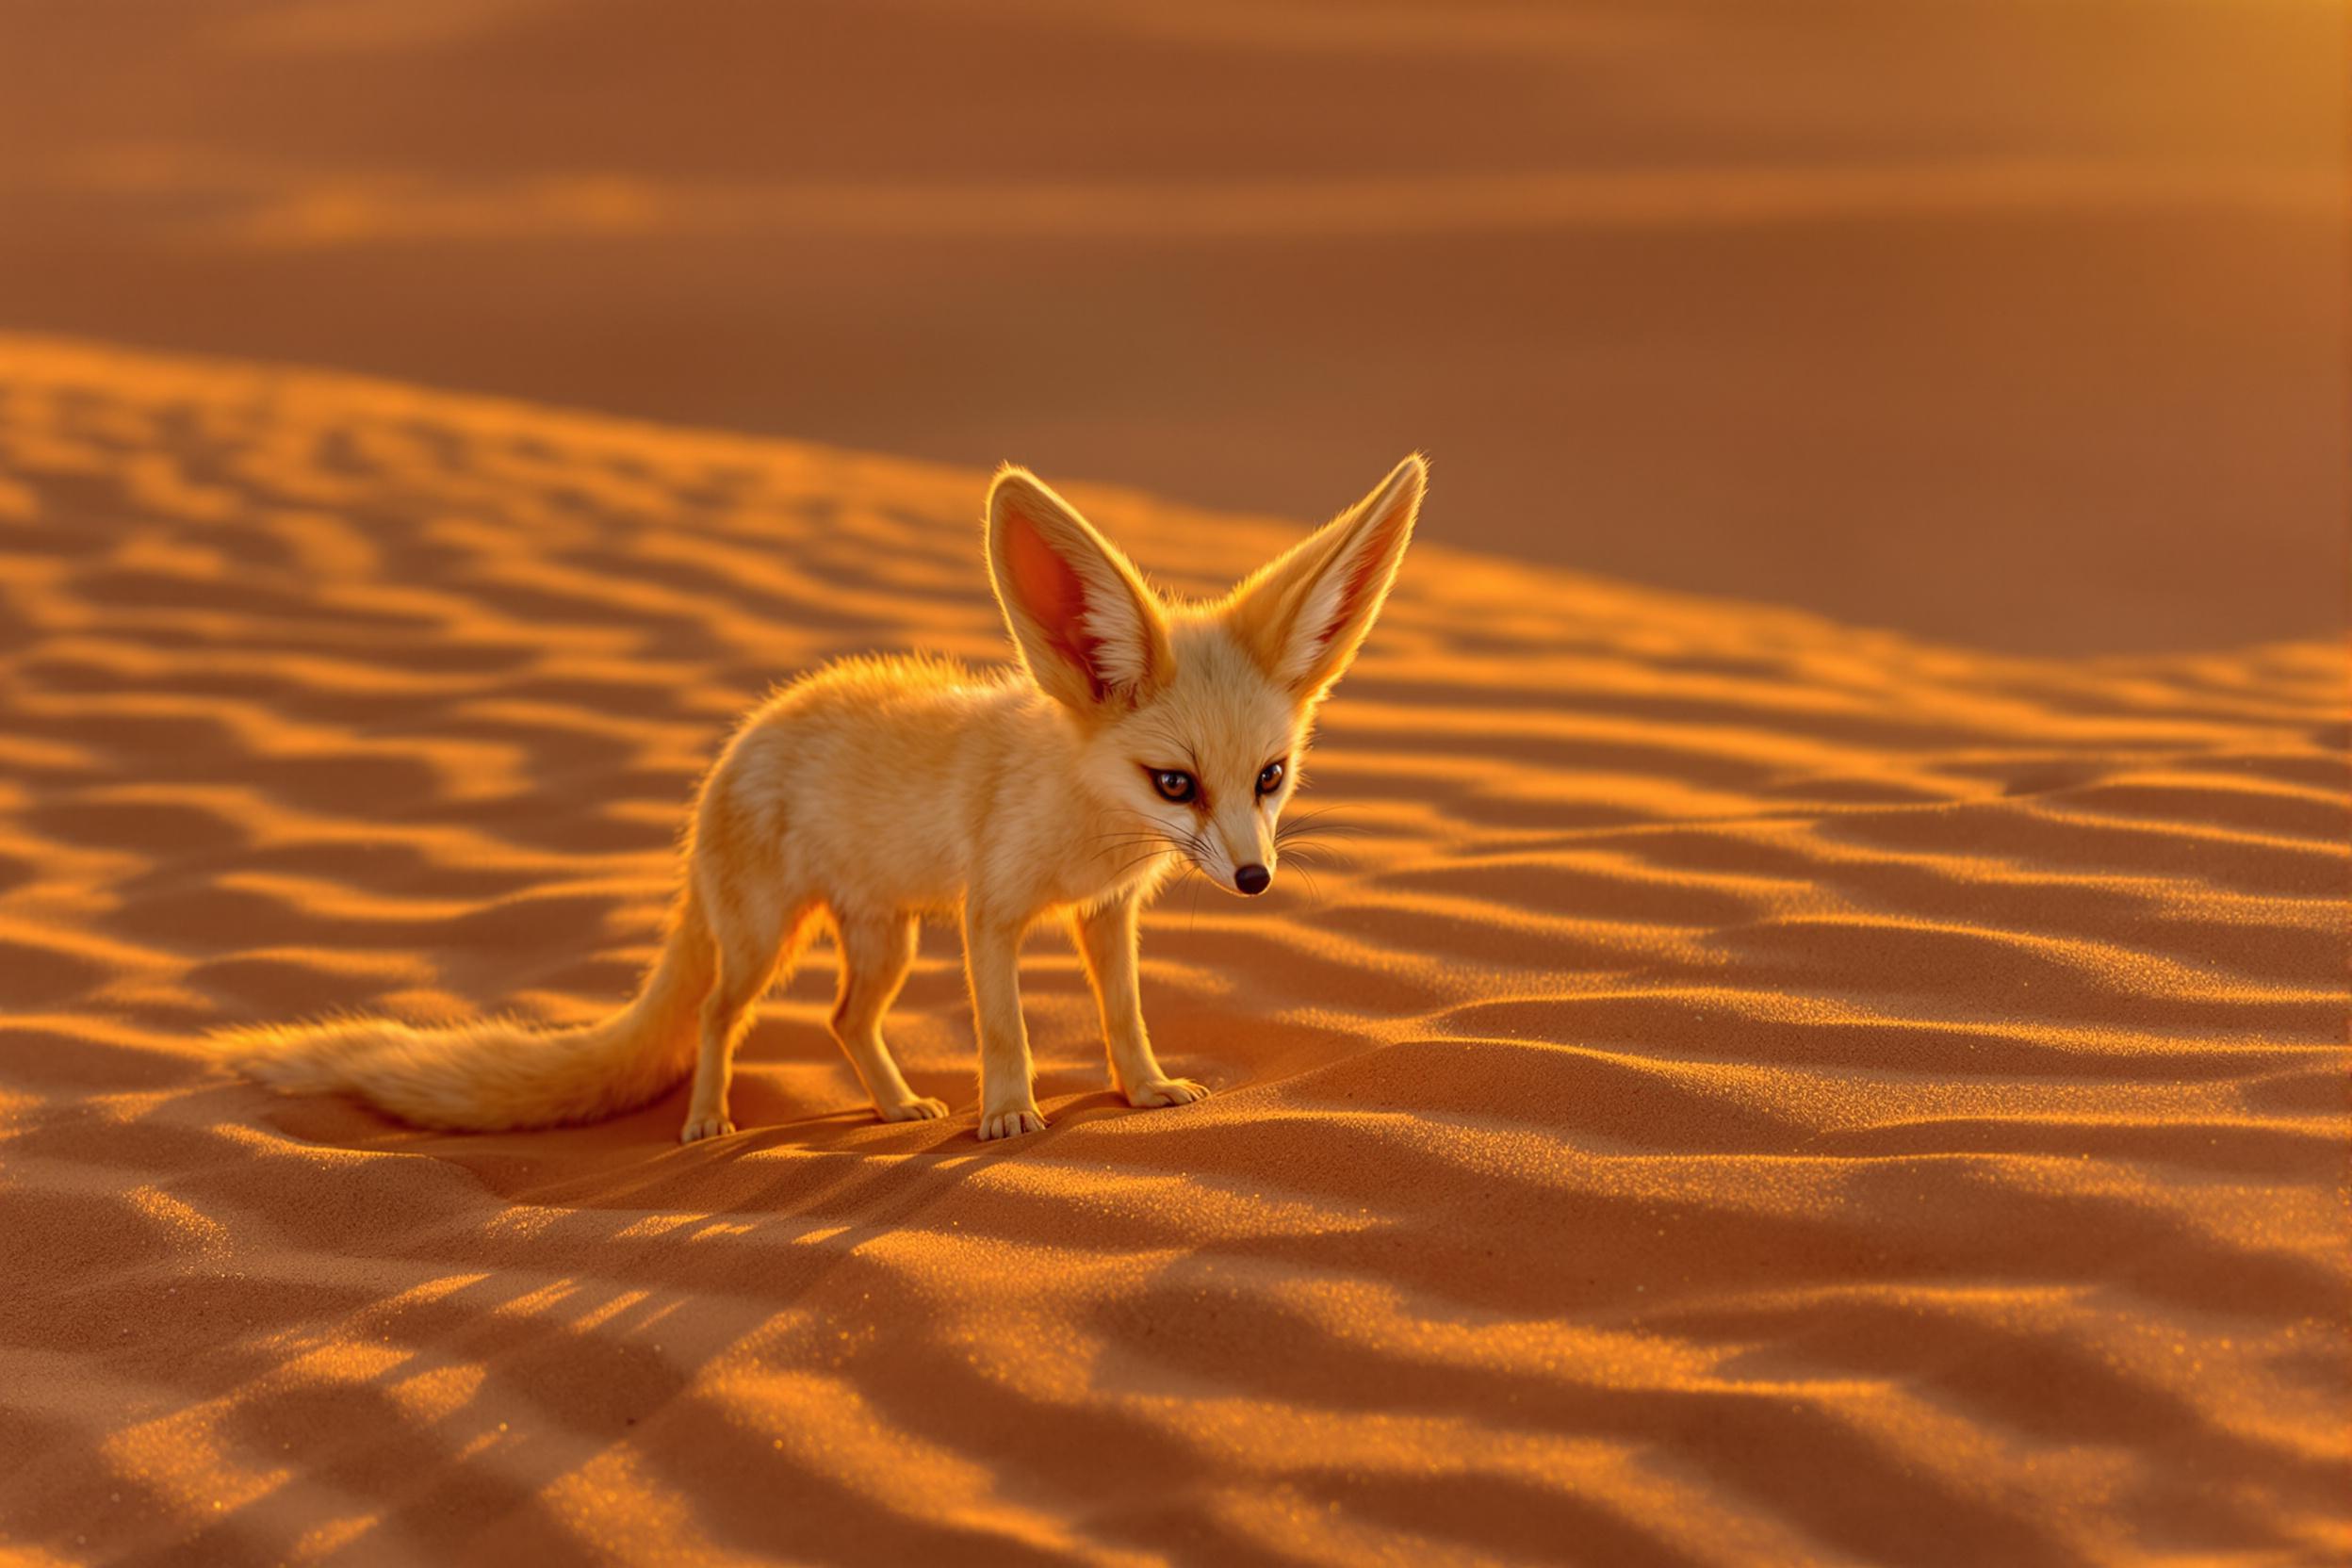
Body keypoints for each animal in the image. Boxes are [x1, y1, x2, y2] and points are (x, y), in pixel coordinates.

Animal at [229, 453, 1420, 1142]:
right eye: (1174, 781)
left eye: (1269, 777)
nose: (1256, 876)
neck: (1088, 814)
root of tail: (732, 749)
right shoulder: (991, 917)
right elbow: (1005, 1028)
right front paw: (1008, 1113)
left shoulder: (1103, 912)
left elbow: (1123, 1015)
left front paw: (1144, 1089)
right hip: (771, 939)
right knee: (718, 1013)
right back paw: (708, 1121)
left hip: (884, 937)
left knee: (846, 1018)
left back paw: (892, 1104)